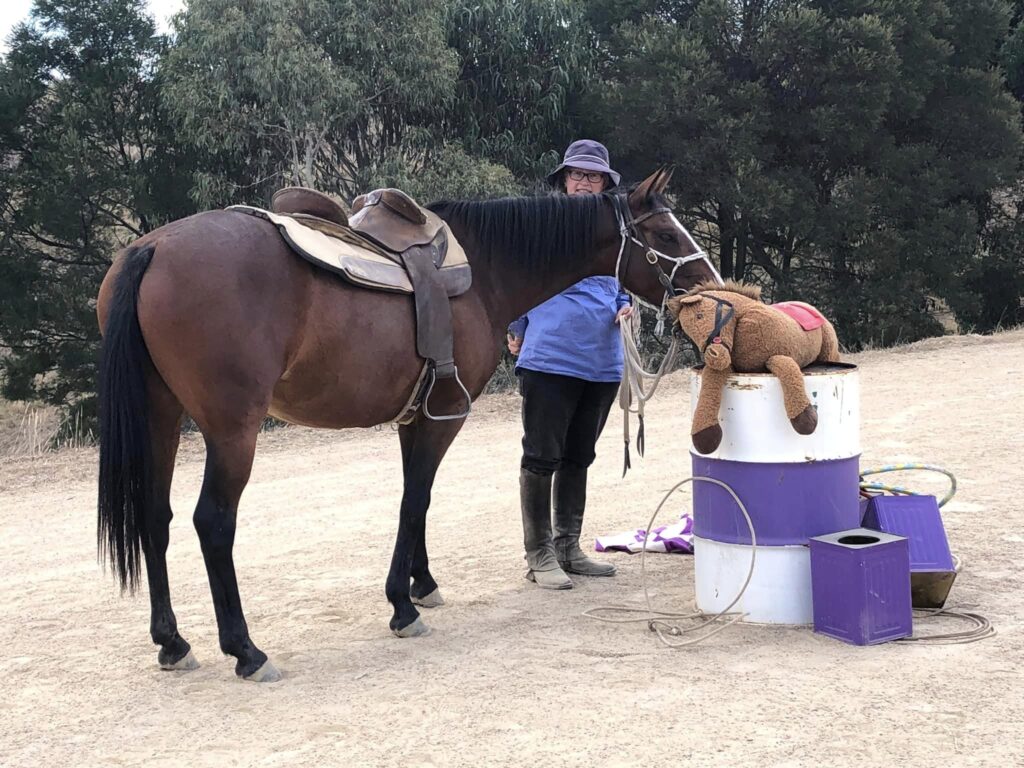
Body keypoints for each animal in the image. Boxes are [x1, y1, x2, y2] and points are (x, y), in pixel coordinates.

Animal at [96, 169, 720, 684]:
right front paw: (402, 605)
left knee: (155, 517)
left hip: (161, 418)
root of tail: (152, 247)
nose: (710, 287)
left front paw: (423, 585)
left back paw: (173, 642)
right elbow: (415, 498)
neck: (486, 269)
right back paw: (246, 651)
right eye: (665, 235)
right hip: (231, 432)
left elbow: (414, 498)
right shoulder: (446, 416)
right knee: (212, 522)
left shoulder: (415, 417)